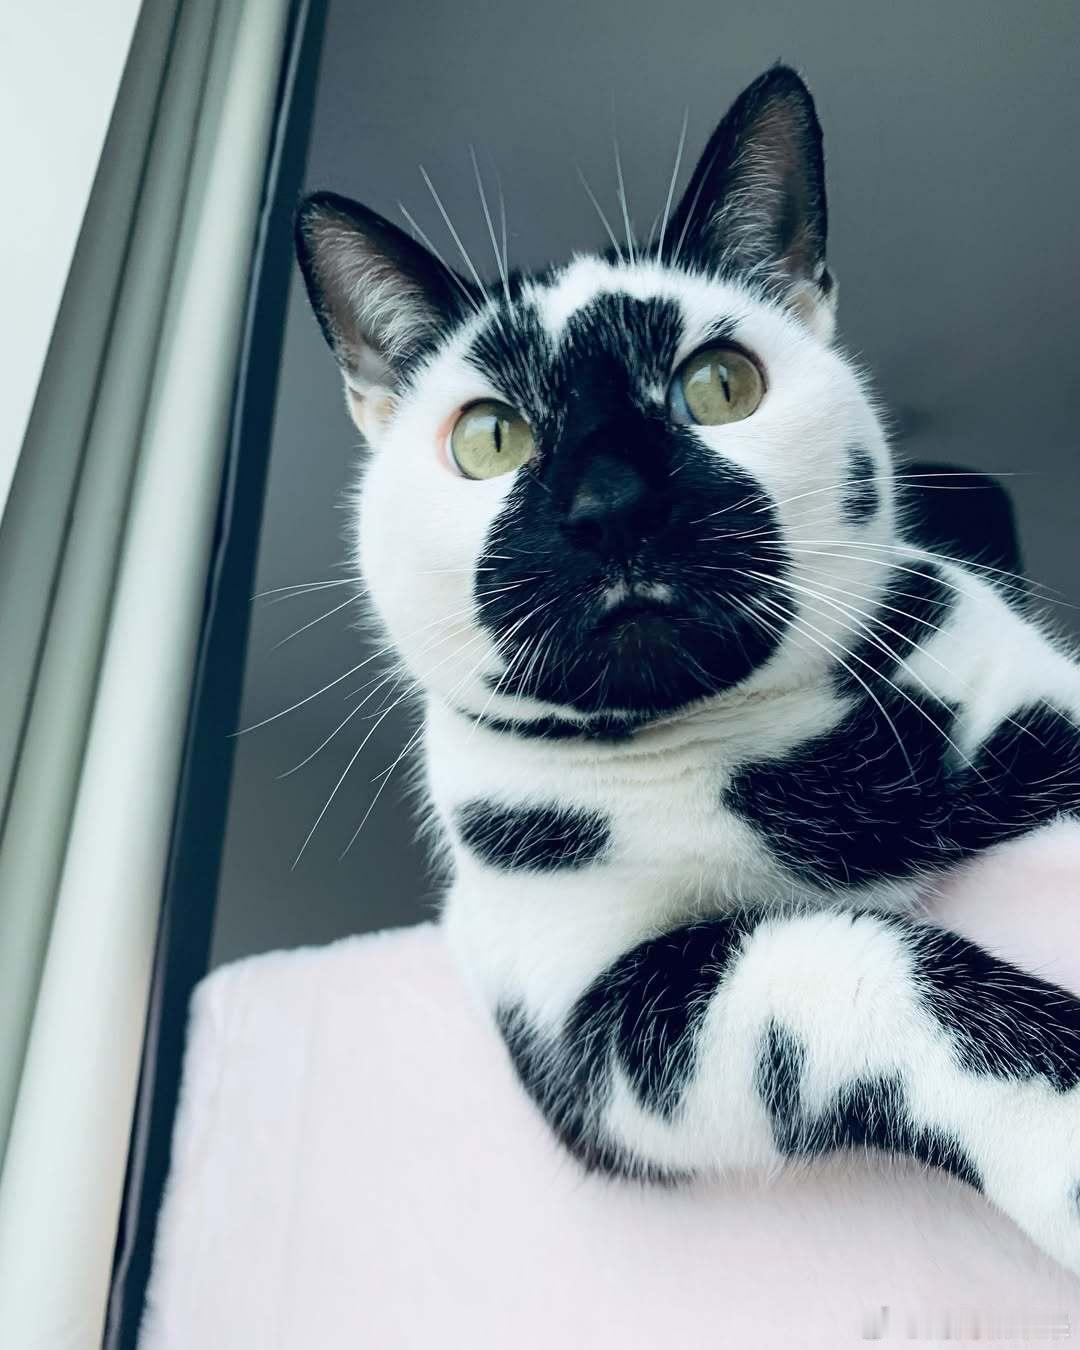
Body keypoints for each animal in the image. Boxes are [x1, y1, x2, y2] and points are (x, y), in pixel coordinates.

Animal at [294, 65, 1080, 1273]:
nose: (611, 503)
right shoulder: (592, 1032)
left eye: (719, 384)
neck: (754, 765)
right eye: (488, 438)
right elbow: (847, 963)